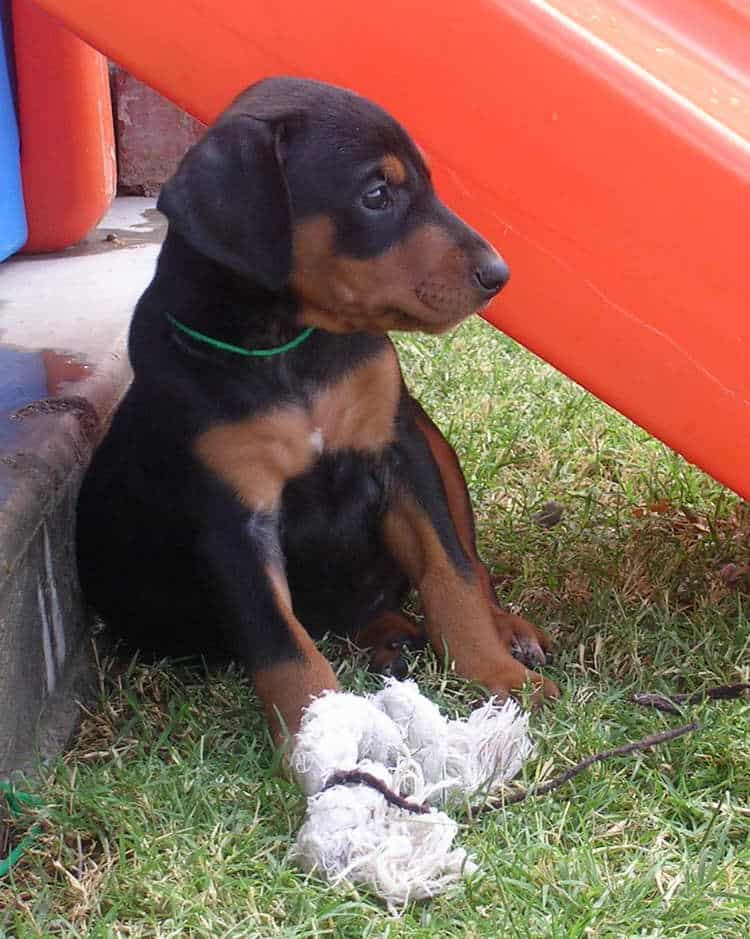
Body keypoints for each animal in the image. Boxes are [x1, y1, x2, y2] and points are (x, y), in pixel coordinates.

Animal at [78, 77, 560, 744]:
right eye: (377, 195)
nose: (498, 274)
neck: (288, 346)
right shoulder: (234, 519)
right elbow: (285, 649)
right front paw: (316, 740)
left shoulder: (400, 452)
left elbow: (451, 573)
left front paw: (500, 677)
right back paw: (389, 638)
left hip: (433, 439)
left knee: (473, 563)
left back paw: (504, 631)